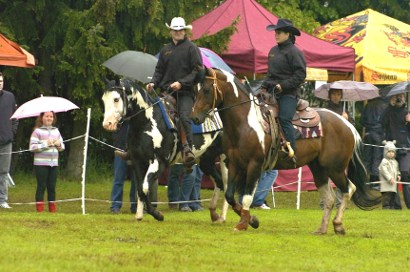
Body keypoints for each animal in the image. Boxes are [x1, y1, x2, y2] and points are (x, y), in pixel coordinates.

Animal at [101, 78, 229, 221]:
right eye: (103, 99)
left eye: (116, 99)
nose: (108, 124)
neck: (147, 122)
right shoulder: (138, 162)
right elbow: (140, 189)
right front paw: (140, 215)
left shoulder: (159, 162)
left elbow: (145, 187)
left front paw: (156, 213)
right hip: (206, 160)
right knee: (219, 182)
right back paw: (215, 214)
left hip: (226, 159)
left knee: (227, 185)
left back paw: (224, 216)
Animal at [192, 68, 382, 234]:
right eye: (196, 89)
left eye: (207, 90)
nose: (194, 117)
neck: (246, 123)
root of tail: (348, 125)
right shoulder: (233, 164)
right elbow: (230, 196)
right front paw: (252, 220)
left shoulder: (254, 165)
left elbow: (246, 197)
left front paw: (243, 223)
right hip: (318, 168)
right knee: (329, 198)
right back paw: (321, 229)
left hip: (334, 168)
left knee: (348, 189)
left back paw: (338, 225)